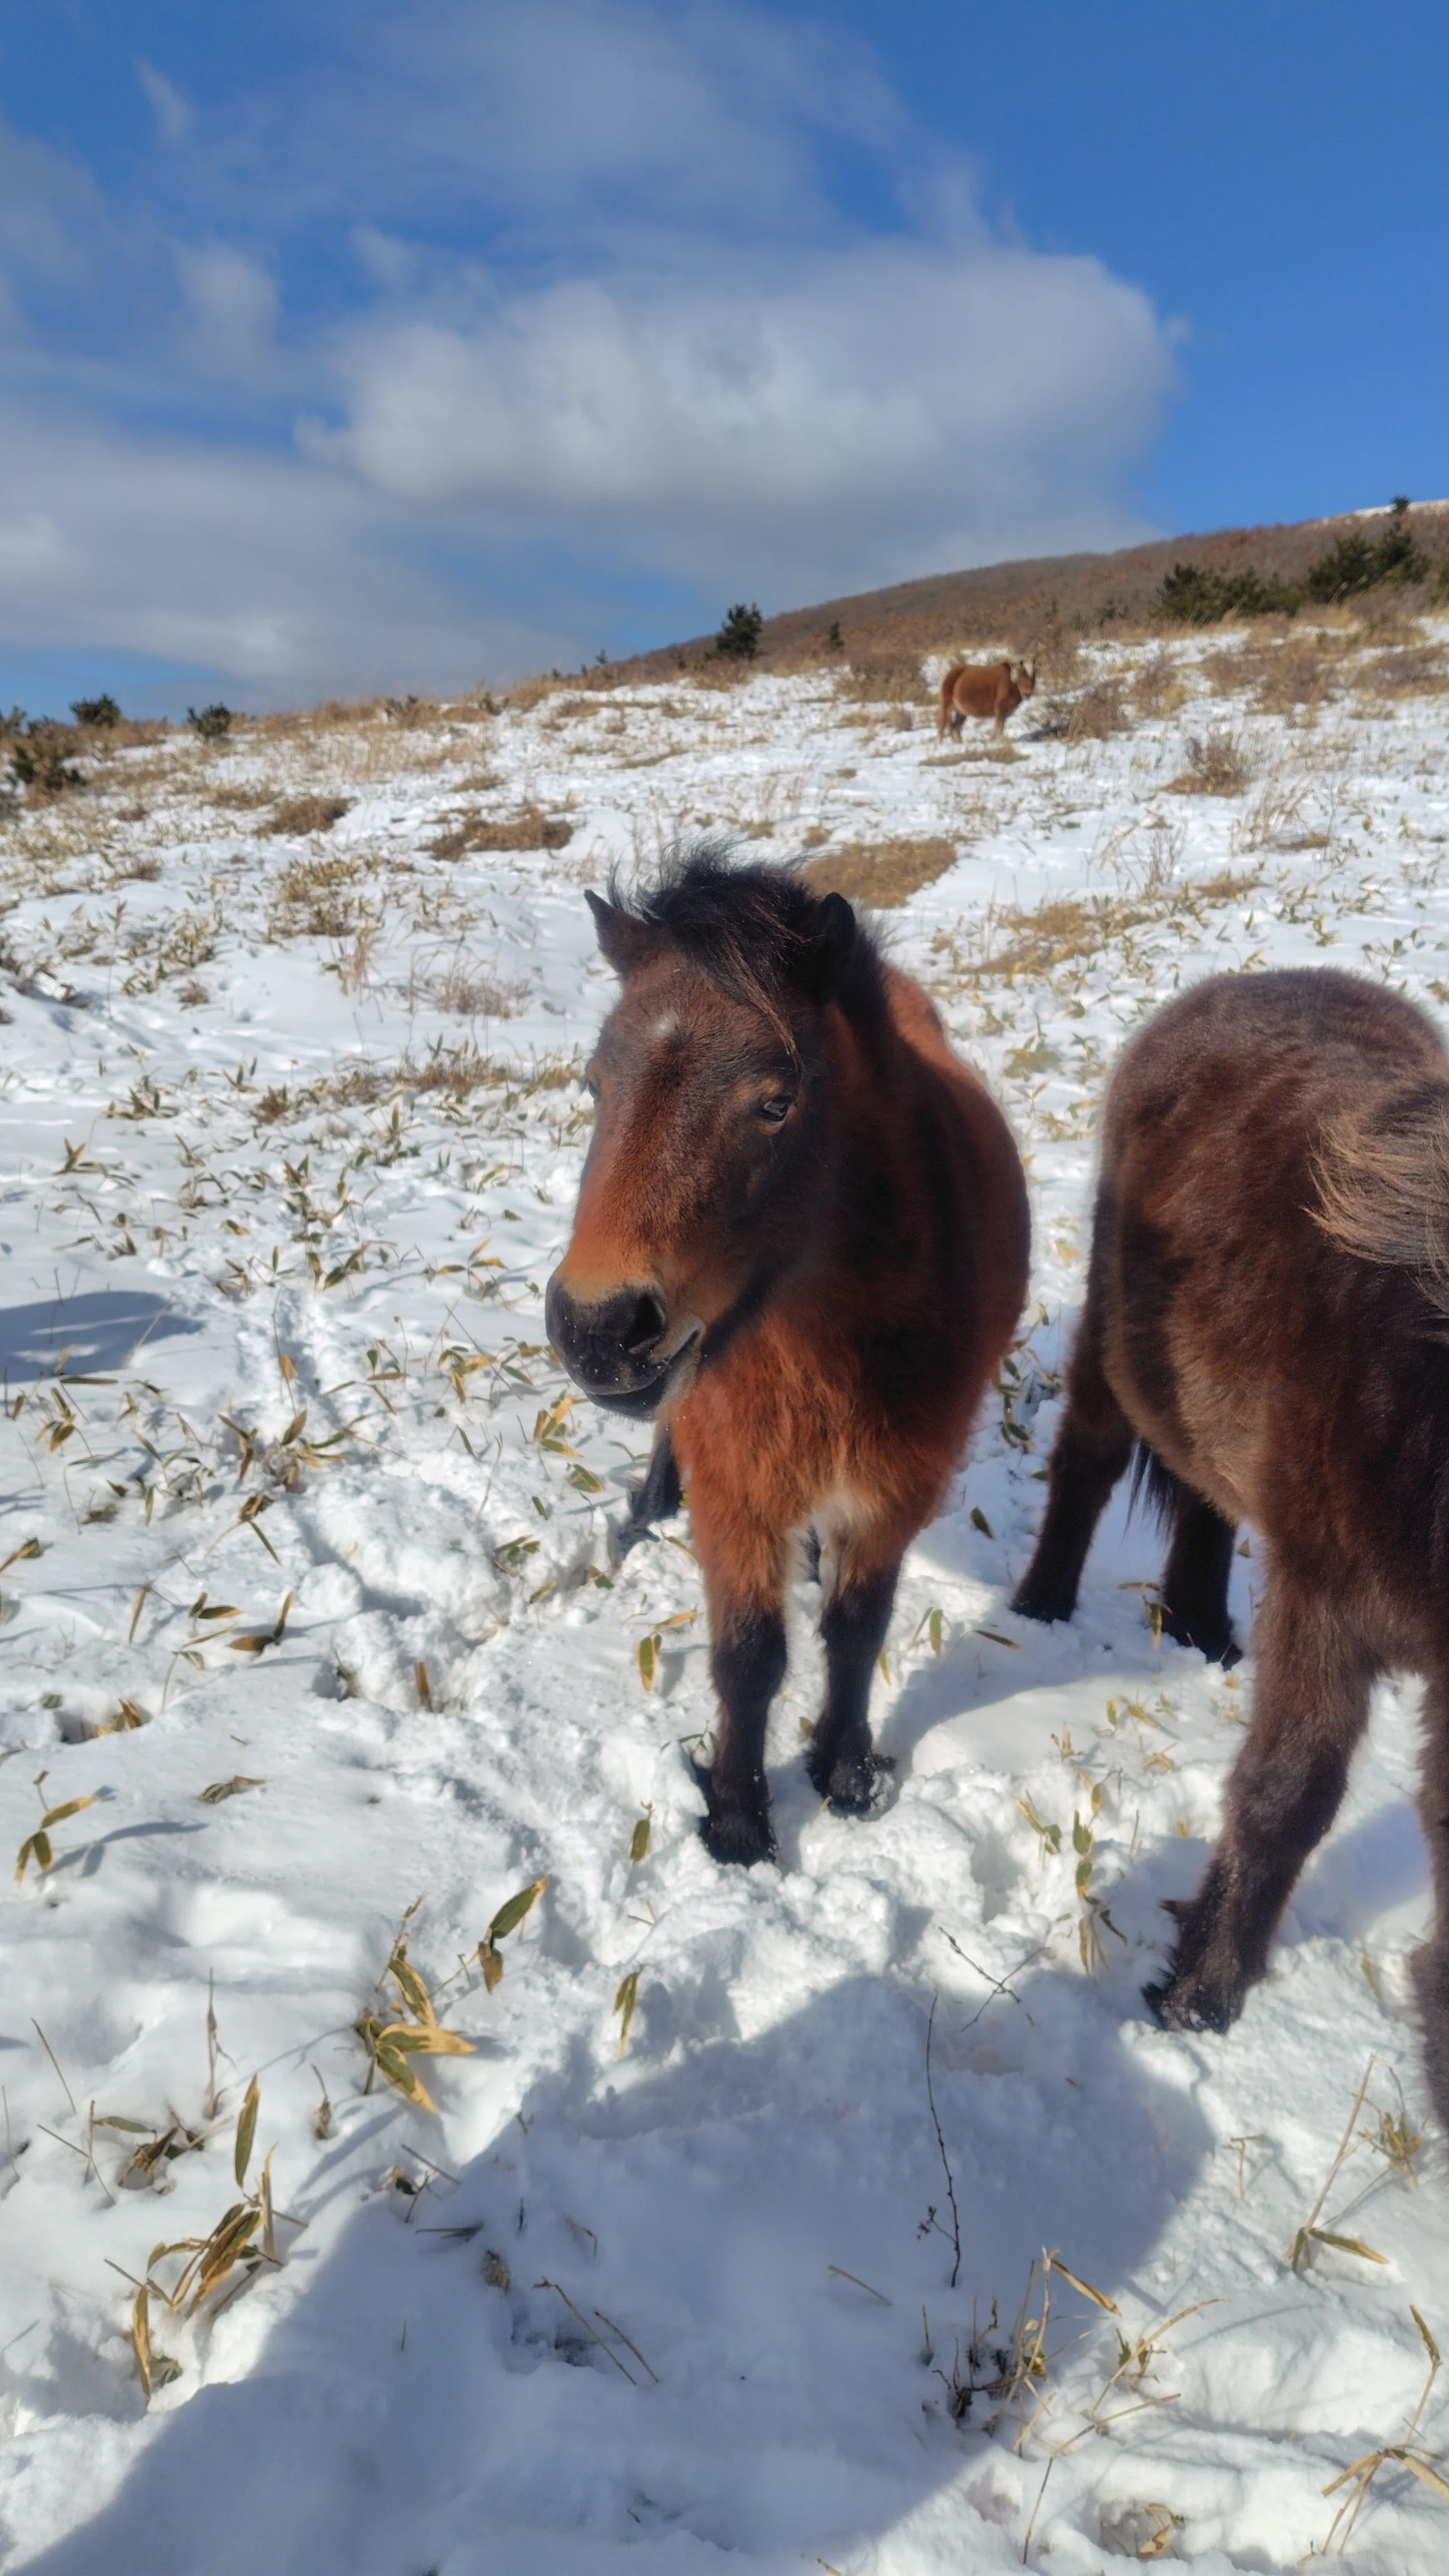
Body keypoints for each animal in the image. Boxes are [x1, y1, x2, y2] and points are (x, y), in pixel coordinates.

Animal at [546, 848, 1030, 1866]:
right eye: (596, 1084)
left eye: (777, 1102)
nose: (599, 1329)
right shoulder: (735, 1481)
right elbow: (748, 1655)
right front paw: (737, 1816)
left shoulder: (897, 1484)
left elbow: (855, 1629)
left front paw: (844, 1769)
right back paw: (645, 1514)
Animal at [936, 658, 1036, 743]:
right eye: (1021, 675)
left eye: (1034, 676)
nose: (1027, 694)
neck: (1011, 683)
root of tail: (952, 671)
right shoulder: (1001, 709)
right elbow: (999, 728)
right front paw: (998, 742)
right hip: (947, 705)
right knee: (942, 725)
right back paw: (939, 744)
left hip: (962, 712)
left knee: (955, 728)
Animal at [1011, 965, 1449, 2127]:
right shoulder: (1325, 1604)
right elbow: (1286, 1793)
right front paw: (1198, 1996)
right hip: (1110, 1346)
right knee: (1085, 1465)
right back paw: (1039, 1607)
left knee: (1205, 1495)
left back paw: (1202, 1630)